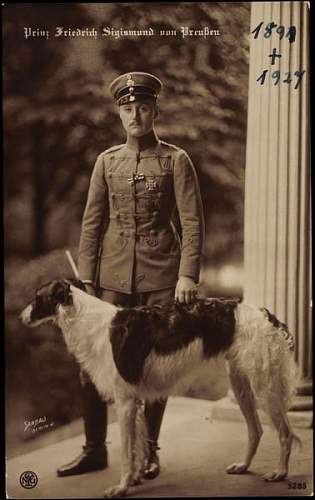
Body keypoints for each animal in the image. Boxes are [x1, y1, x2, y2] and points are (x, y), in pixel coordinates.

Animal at [20, 280, 302, 498]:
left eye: (37, 298)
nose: (20, 317)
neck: (89, 321)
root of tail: (266, 314)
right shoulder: (134, 401)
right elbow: (137, 446)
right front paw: (134, 479)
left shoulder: (125, 401)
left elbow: (126, 452)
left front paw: (121, 488)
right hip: (241, 383)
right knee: (255, 430)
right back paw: (243, 465)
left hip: (264, 386)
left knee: (285, 433)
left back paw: (280, 472)